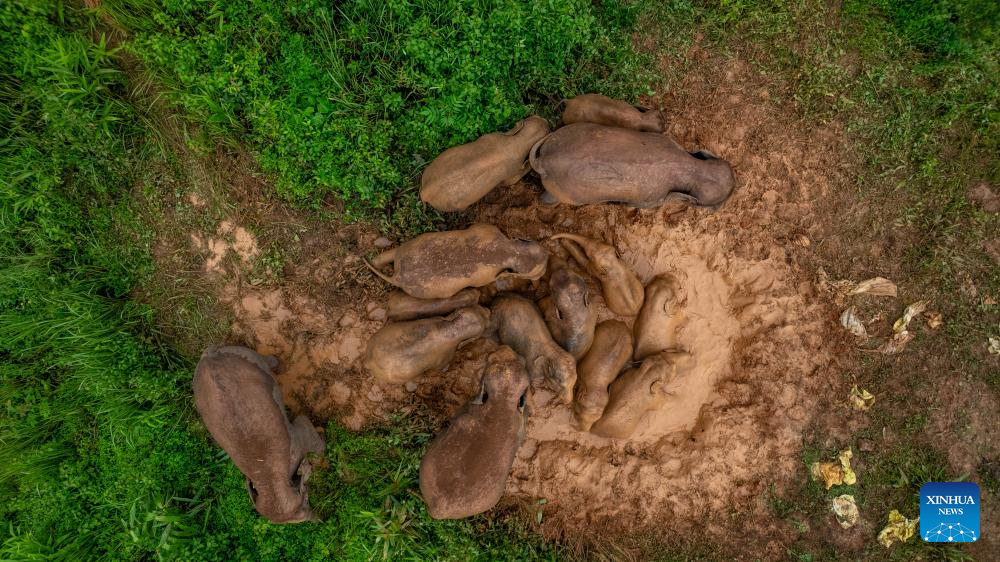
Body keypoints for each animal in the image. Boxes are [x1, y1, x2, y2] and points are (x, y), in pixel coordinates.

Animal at [192, 344, 324, 524]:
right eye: (305, 502)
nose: (319, 520)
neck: (268, 482)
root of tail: (210, 355)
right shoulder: (299, 440)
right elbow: (309, 431)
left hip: (246, 356)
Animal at [364, 224, 548, 302]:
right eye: (529, 274)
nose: (547, 256)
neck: (510, 252)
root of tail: (398, 277)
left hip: (408, 247)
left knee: (389, 254)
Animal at [420, 115, 552, 211]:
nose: (546, 119)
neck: (516, 144)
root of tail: (425, 192)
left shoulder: (491, 136)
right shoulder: (512, 173)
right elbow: (511, 181)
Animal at [532, 122, 736, 208]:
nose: (734, 183)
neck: (690, 168)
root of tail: (545, 160)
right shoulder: (654, 200)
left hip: (571, 130)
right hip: (566, 192)